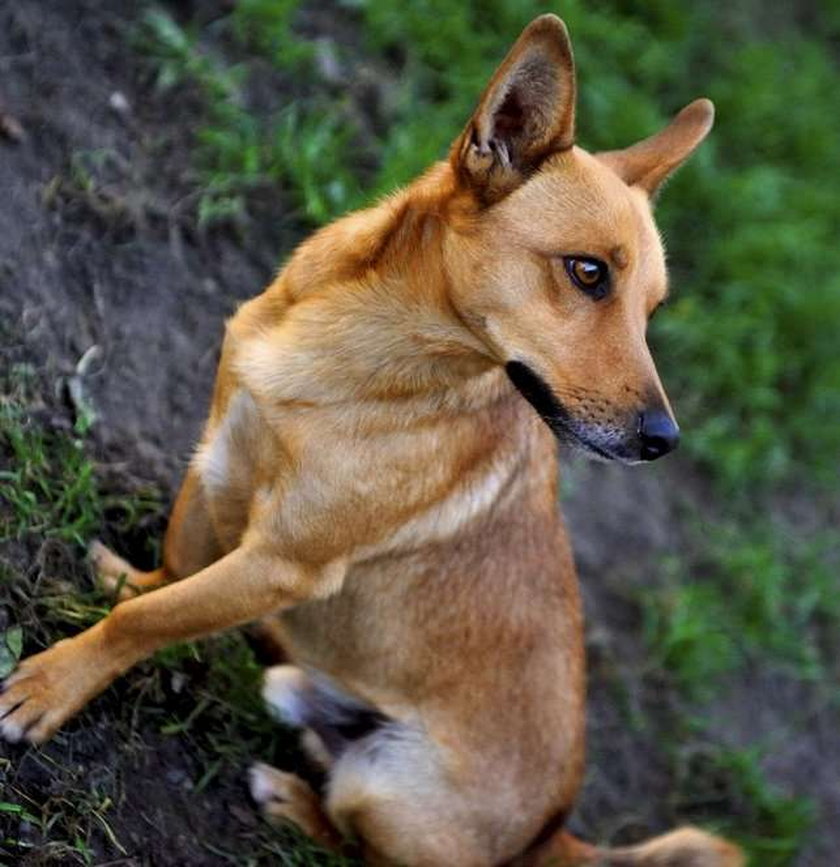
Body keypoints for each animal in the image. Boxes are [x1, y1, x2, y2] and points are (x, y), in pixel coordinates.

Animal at [3, 13, 744, 867]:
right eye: (589, 273)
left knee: (354, 838)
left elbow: (147, 621)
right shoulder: (218, 449)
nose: (665, 439)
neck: (360, 342)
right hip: (316, 703)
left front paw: (53, 684)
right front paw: (127, 581)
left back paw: (290, 799)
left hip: (387, 785)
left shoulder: (284, 563)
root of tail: (549, 836)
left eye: (650, 309)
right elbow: (174, 574)